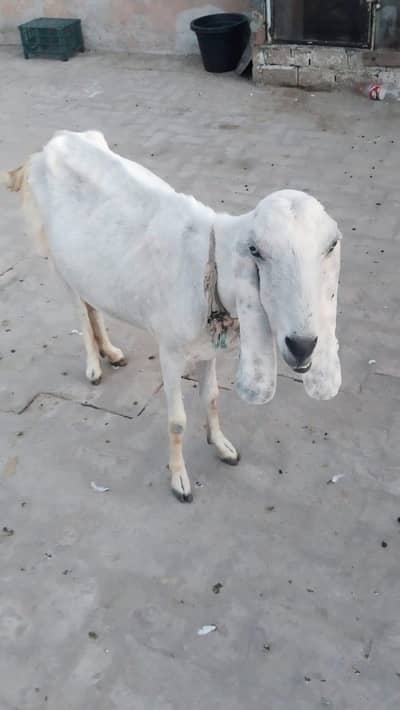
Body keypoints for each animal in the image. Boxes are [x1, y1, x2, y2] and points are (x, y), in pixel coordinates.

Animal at [3, 130, 342, 502]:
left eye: (331, 246)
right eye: (255, 250)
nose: (302, 345)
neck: (208, 270)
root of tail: (50, 145)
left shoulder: (208, 347)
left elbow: (212, 397)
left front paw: (221, 446)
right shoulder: (169, 349)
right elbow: (177, 420)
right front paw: (179, 479)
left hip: (88, 269)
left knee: (93, 305)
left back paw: (112, 352)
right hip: (58, 262)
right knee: (80, 310)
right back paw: (94, 366)